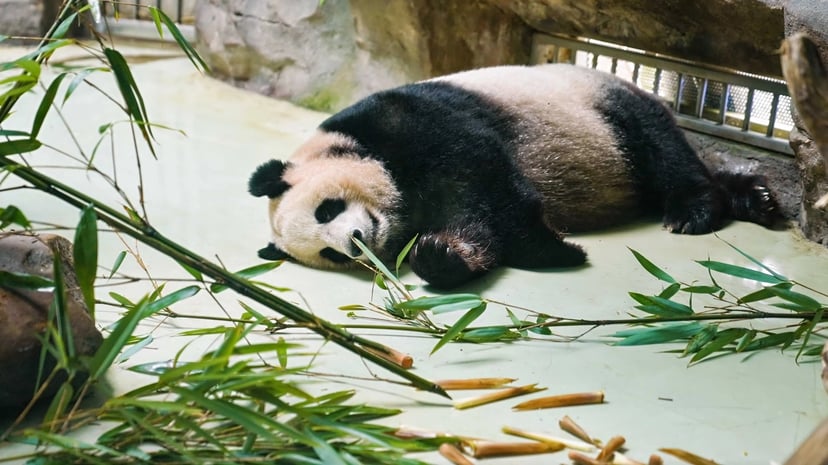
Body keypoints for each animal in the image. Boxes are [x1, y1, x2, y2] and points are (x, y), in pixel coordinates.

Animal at [248, 64, 780, 289]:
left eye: (327, 209)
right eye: (329, 254)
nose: (356, 242)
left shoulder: (410, 122)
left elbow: (485, 184)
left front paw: (551, 250)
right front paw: (445, 256)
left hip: (606, 109)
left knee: (664, 150)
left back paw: (696, 210)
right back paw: (755, 198)